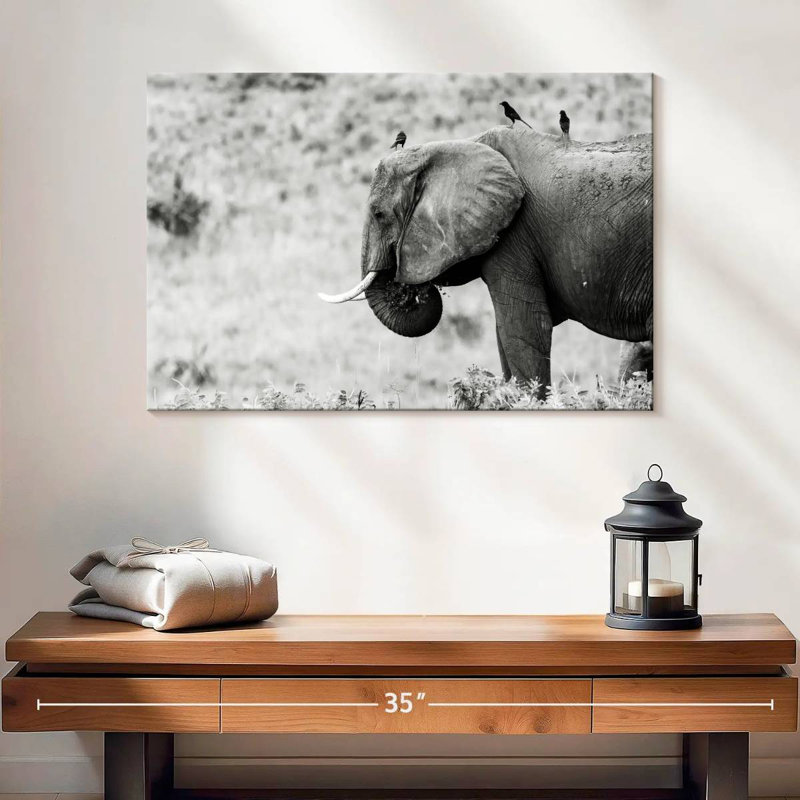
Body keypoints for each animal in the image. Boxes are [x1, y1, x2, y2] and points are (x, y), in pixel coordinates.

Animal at [319, 124, 652, 394]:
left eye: (378, 214)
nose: (407, 287)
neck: (458, 145)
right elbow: (503, 334)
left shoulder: (515, 236)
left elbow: (522, 328)